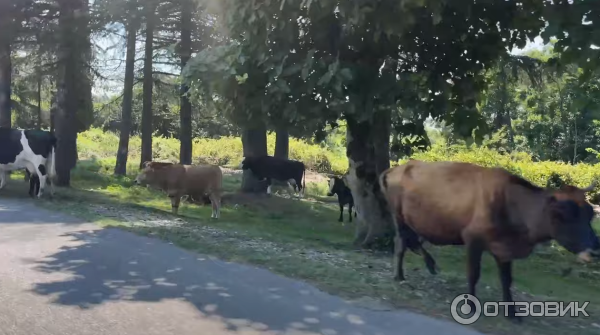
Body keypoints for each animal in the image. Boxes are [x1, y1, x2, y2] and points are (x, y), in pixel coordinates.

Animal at [380, 161, 600, 324]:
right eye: (562, 214)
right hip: (398, 217)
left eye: (590, 213)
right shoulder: (472, 239)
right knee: (401, 242)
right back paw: (402, 274)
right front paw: (471, 306)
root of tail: (396, 168)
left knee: (410, 241)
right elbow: (473, 274)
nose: (595, 249)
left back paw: (423, 266)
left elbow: (506, 279)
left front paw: (511, 312)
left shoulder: (504, 248)